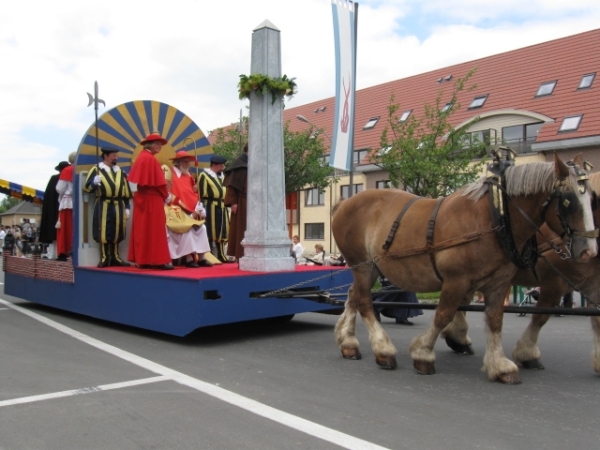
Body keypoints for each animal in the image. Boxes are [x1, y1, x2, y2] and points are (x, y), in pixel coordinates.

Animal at [330, 154, 596, 384]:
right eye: (568, 201)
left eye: (593, 198)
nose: (589, 251)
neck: (494, 217)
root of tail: (345, 202)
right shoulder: (456, 281)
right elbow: (443, 315)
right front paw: (423, 354)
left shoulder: (499, 283)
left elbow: (495, 321)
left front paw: (500, 365)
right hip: (362, 264)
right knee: (364, 301)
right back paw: (383, 350)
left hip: (372, 267)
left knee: (353, 296)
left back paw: (349, 343)